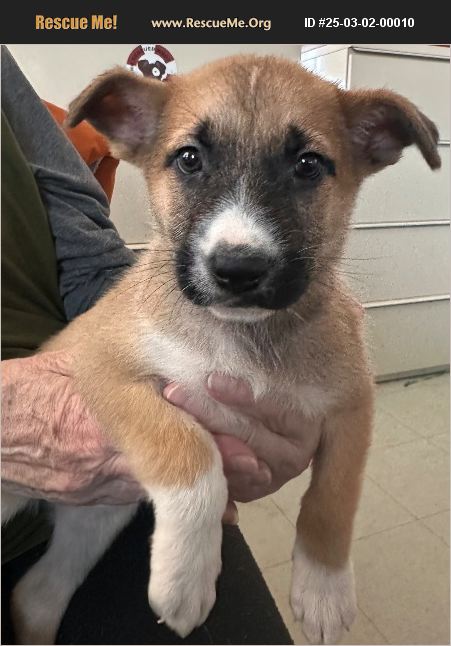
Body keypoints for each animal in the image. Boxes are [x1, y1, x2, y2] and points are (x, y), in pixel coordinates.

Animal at [2, 54, 440, 644]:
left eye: (308, 165)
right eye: (189, 159)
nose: (238, 269)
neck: (241, 337)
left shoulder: (353, 402)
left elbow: (334, 494)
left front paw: (324, 590)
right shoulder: (100, 368)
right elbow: (190, 449)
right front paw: (186, 580)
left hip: (96, 517)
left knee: (37, 594)